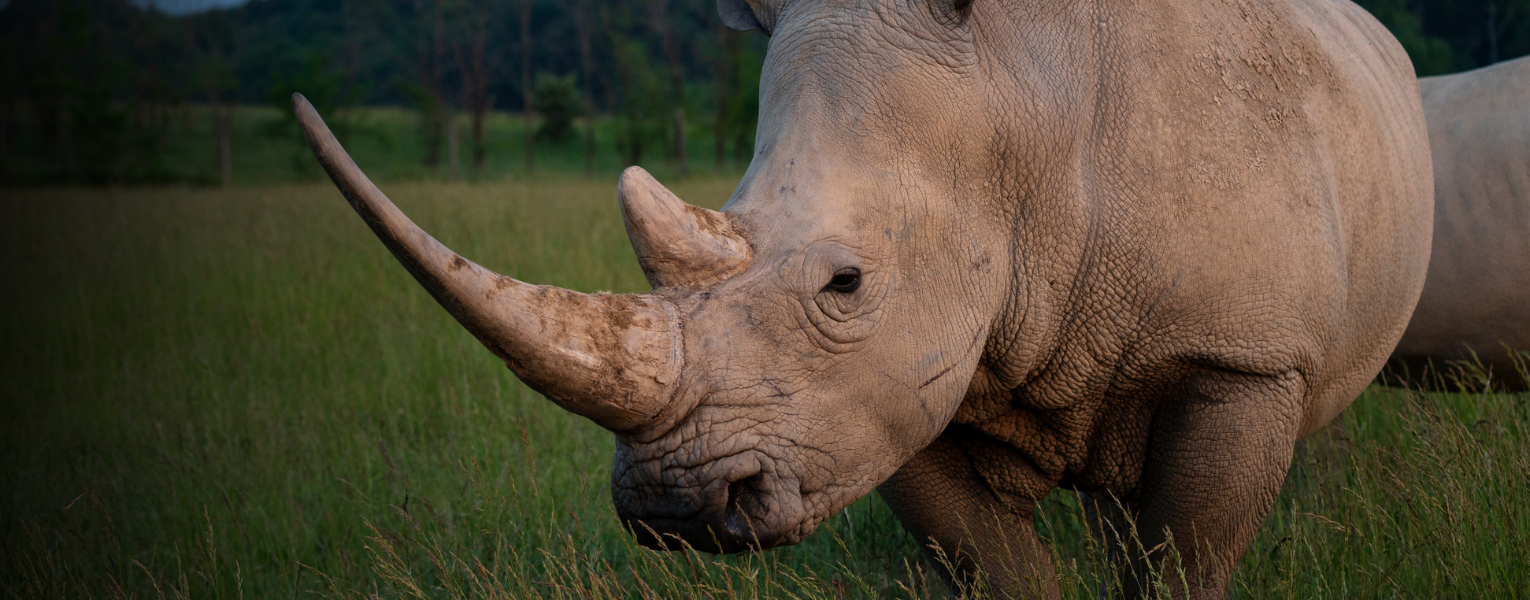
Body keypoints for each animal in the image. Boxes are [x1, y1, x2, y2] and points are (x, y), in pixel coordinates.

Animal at [293, 0, 1432, 596]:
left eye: (846, 282)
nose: (676, 509)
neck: (1028, 111)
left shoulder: (1240, 353)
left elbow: (1183, 565)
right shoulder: (883, 392)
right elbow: (996, 566)